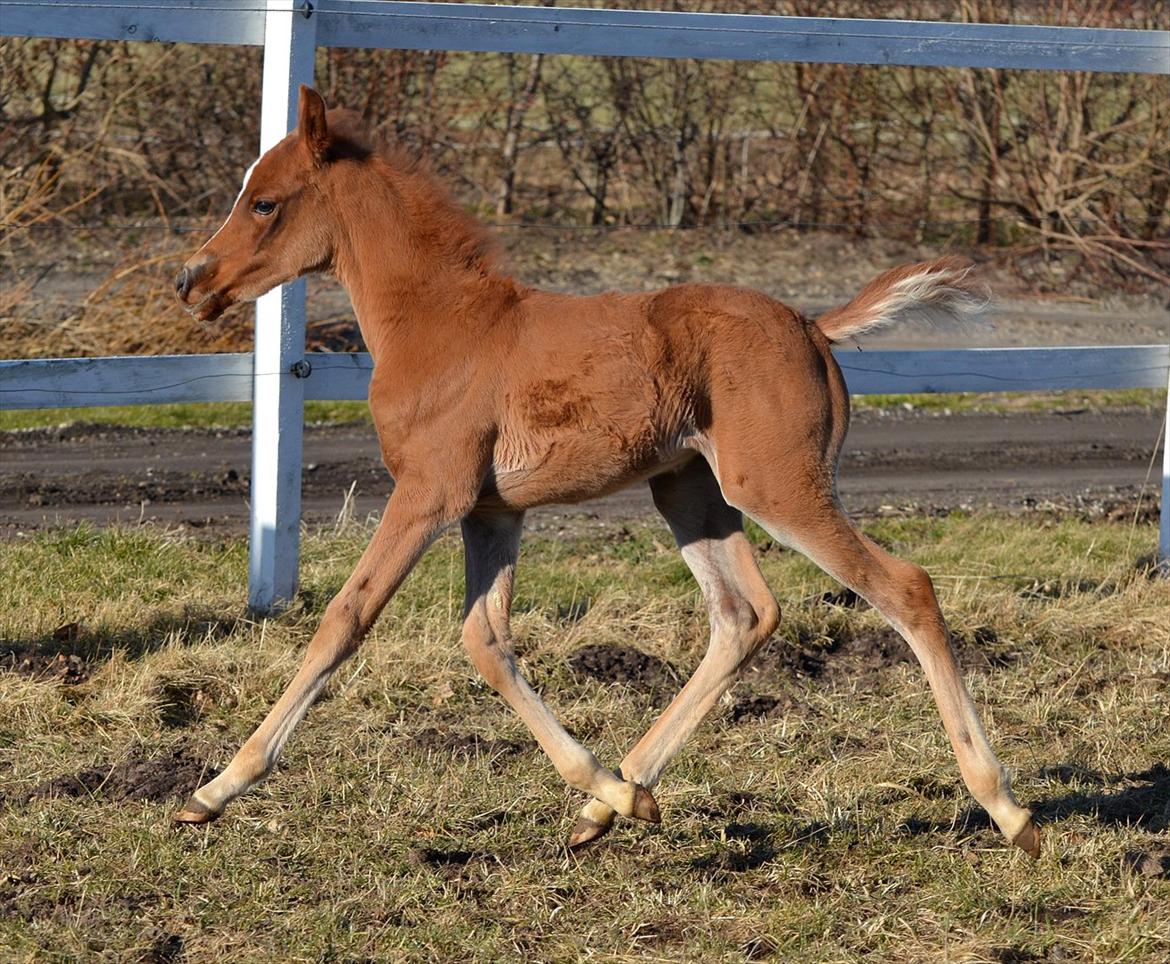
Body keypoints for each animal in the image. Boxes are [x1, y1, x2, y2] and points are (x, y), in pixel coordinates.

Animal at [170, 86, 1034, 856]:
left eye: (264, 202)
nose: (192, 279)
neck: (441, 322)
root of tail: (812, 326)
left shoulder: (429, 493)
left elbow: (345, 619)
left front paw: (213, 791)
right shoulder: (492, 510)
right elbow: (486, 640)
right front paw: (610, 791)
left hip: (777, 485)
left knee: (903, 587)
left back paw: (1006, 808)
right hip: (689, 490)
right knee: (745, 614)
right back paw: (615, 804)